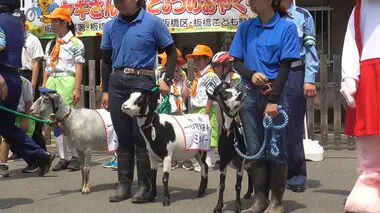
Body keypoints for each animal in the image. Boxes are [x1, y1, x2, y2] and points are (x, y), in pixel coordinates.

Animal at [208, 82, 252, 213]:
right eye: (224, 94)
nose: (241, 90)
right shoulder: (223, 163)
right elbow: (221, 185)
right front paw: (218, 206)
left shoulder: (239, 163)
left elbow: (238, 185)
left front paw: (237, 206)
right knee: (251, 174)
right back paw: (248, 193)